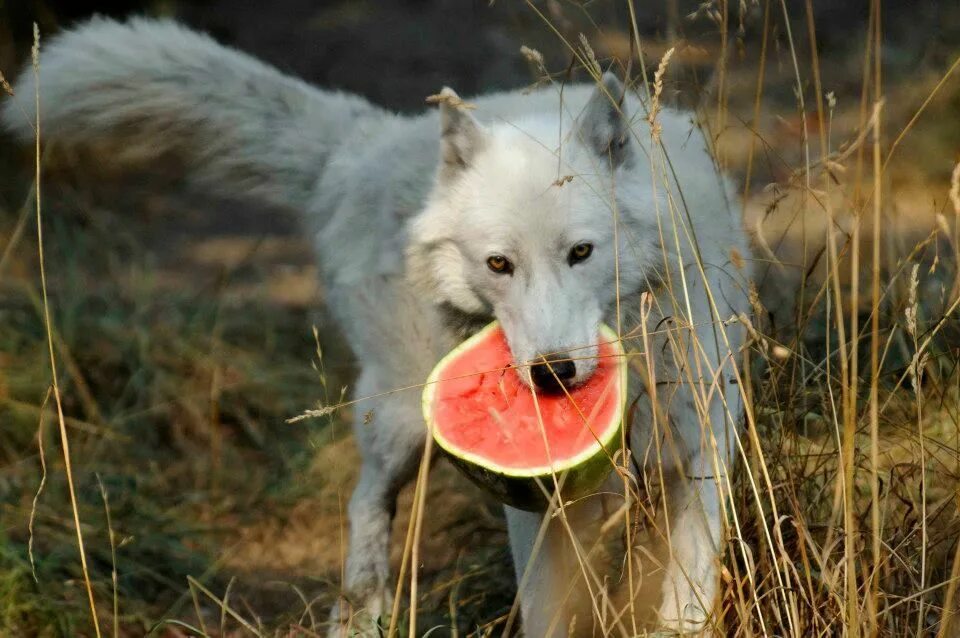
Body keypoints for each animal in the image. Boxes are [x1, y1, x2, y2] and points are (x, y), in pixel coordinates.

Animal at [3, 17, 752, 636]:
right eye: (499, 264)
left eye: (582, 253)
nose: (551, 376)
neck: (636, 367)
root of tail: (369, 139)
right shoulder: (537, 502)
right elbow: (547, 609)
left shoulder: (702, 456)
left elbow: (683, 604)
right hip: (401, 421)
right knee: (365, 505)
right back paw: (362, 618)